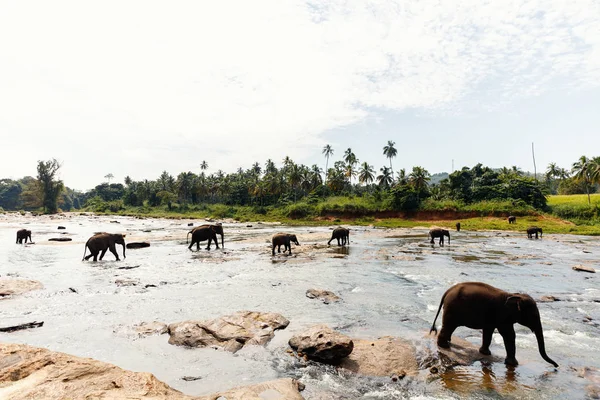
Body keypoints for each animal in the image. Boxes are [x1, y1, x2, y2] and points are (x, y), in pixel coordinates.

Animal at [428, 280, 560, 368]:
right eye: (534, 316)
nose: (556, 366)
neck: (513, 295)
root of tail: (447, 291)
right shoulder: (503, 316)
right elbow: (509, 335)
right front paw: (513, 364)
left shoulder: (493, 317)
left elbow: (488, 331)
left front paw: (485, 353)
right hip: (452, 309)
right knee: (449, 326)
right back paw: (444, 346)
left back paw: (447, 342)